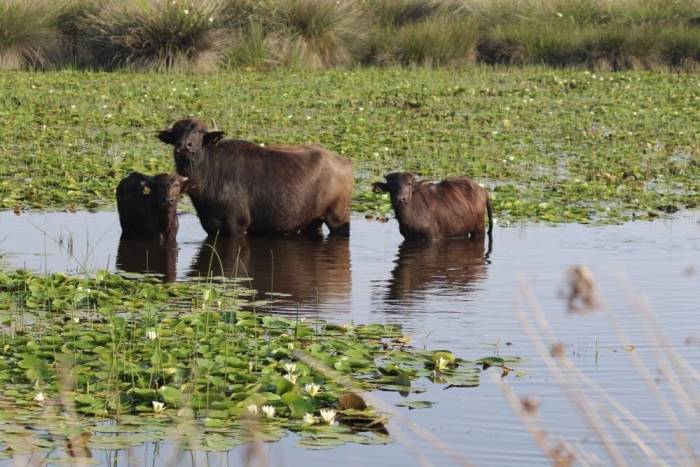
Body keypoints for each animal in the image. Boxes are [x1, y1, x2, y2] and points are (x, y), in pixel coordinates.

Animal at [161, 119, 352, 236]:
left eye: (199, 132)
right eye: (176, 132)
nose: (184, 146)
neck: (208, 175)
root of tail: (345, 162)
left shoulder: (237, 226)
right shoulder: (211, 226)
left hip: (338, 219)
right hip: (313, 221)